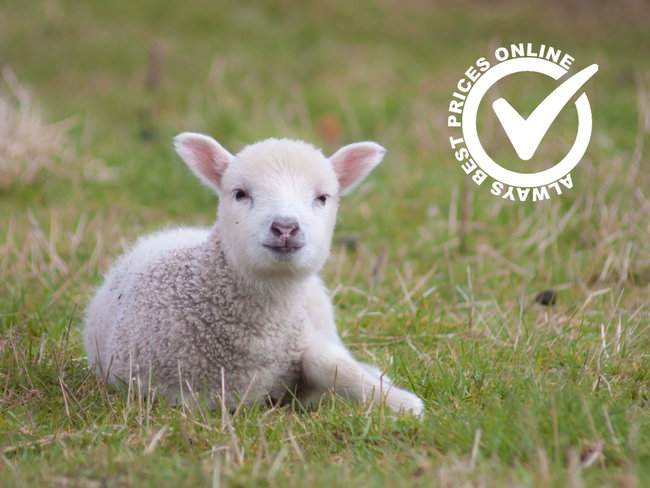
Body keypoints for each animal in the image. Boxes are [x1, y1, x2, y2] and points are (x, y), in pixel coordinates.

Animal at [84, 133, 424, 416]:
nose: (285, 227)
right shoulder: (155, 383)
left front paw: (402, 402)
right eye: (240, 193)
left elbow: (331, 365)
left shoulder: (306, 338)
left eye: (322, 197)